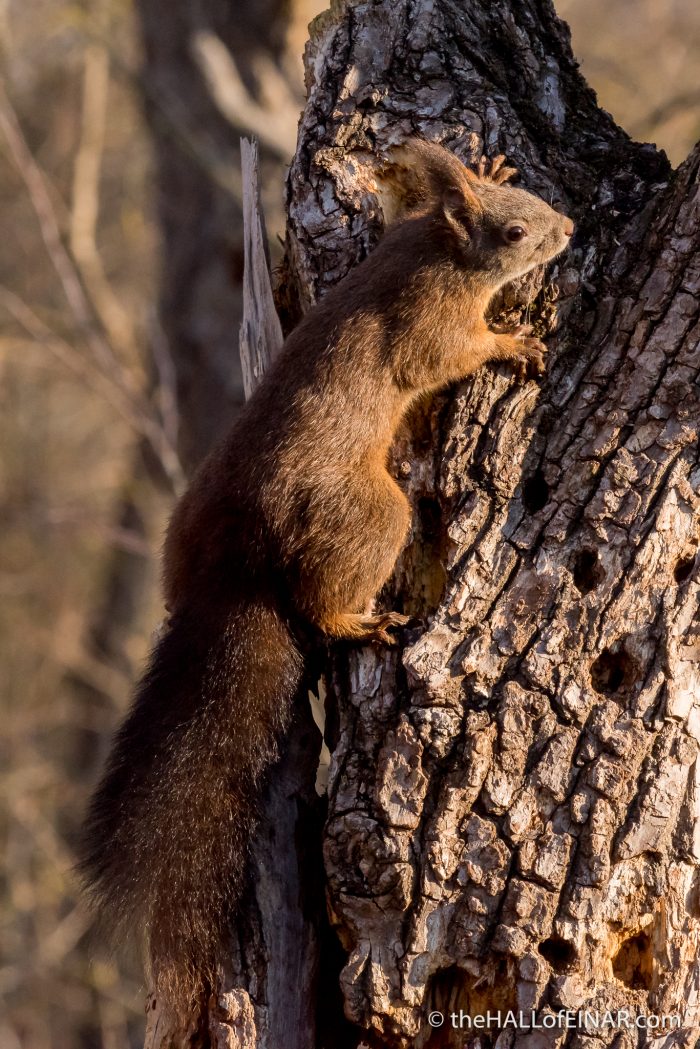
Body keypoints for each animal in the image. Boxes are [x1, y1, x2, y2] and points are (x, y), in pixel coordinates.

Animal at [79, 138, 573, 1010]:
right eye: (516, 232)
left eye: (531, 201)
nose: (571, 230)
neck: (436, 252)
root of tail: (237, 568)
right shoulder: (426, 325)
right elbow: (451, 355)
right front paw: (512, 343)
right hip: (371, 512)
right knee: (319, 600)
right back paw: (359, 620)